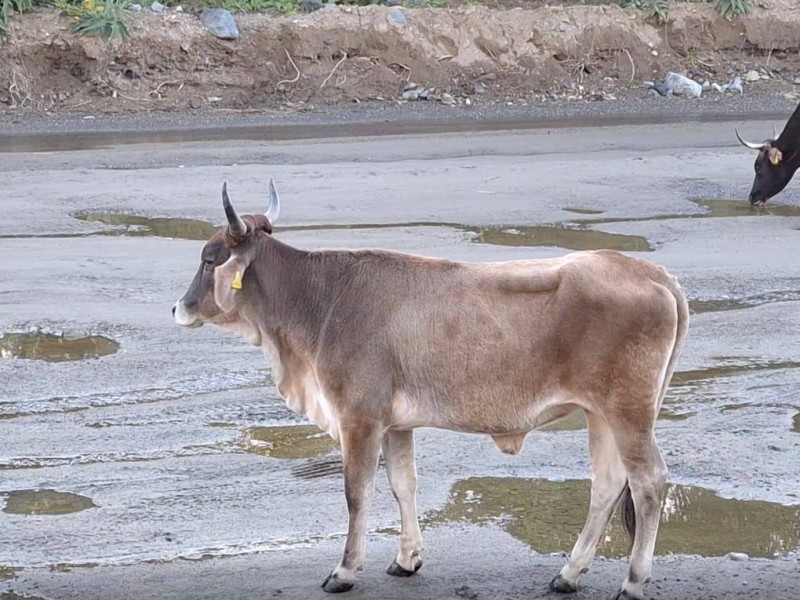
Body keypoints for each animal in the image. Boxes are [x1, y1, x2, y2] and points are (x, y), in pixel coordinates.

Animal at [172, 179, 692, 600]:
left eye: (208, 259)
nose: (178, 307)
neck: (320, 299)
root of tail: (651, 273)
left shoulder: (359, 416)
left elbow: (357, 493)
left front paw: (345, 570)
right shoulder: (395, 424)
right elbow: (403, 485)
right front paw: (407, 559)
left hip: (628, 412)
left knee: (649, 484)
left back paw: (633, 581)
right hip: (600, 413)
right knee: (607, 485)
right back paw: (567, 574)